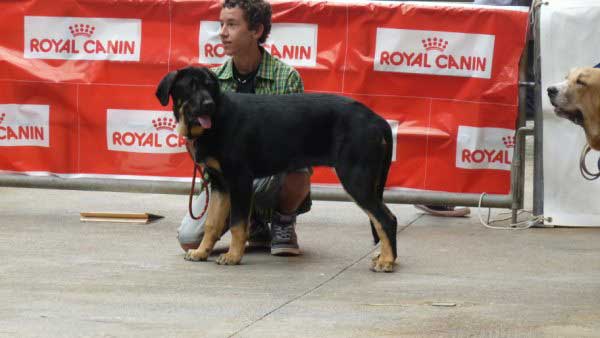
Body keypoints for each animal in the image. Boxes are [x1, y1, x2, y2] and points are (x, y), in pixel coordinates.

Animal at [155, 66, 398, 272]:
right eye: (191, 86)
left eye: (209, 86)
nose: (208, 104)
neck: (216, 121)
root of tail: (377, 120)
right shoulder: (220, 184)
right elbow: (212, 223)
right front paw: (201, 252)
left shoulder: (239, 180)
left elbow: (237, 224)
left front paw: (233, 256)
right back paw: (385, 257)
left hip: (355, 178)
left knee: (386, 219)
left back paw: (387, 261)